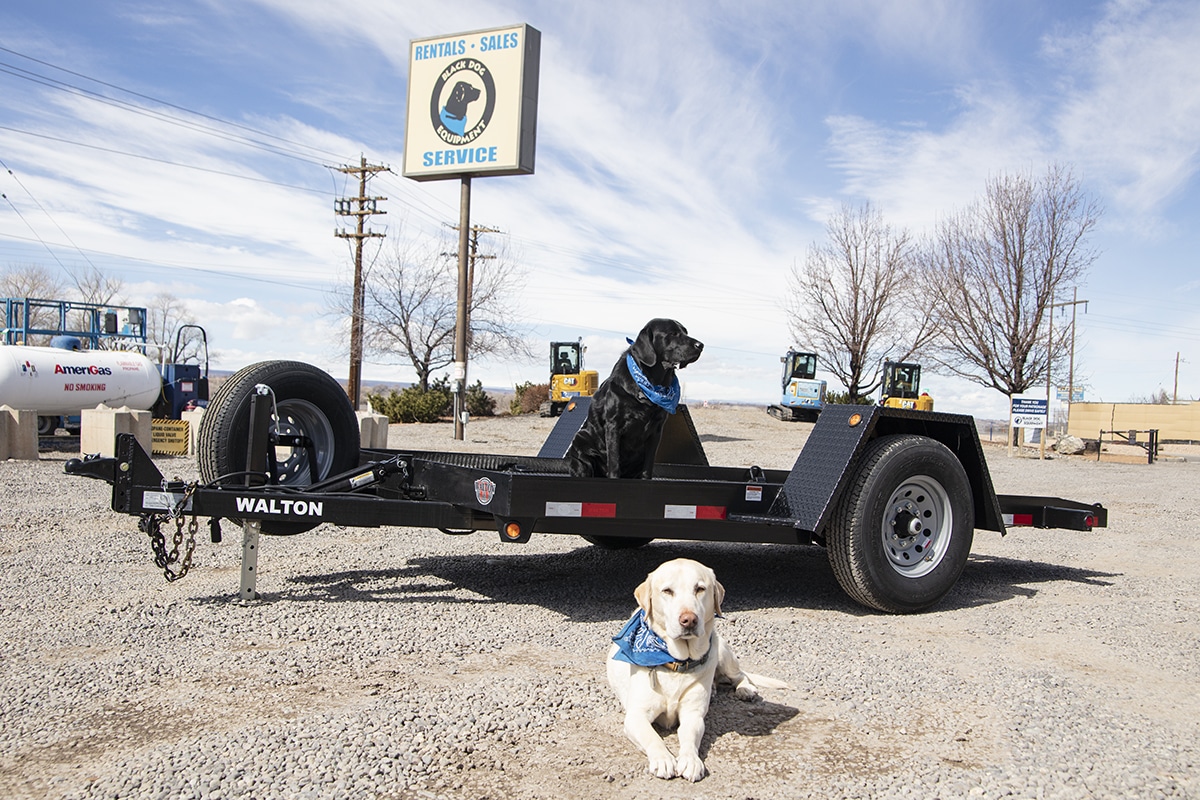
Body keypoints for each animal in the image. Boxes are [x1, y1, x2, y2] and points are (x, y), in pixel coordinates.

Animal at [561, 321, 700, 482]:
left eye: (685, 332)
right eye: (673, 333)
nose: (700, 345)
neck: (650, 385)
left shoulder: (656, 431)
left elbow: (648, 467)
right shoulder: (614, 426)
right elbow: (614, 463)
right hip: (580, 440)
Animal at [609, 556, 787, 782]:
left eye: (700, 589)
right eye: (667, 591)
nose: (689, 619)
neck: (676, 662)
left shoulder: (693, 715)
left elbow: (690, 738)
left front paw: (691, 761)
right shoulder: (636, 716)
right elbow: (652, 737)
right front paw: (663, 759)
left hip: (720, 649)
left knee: (740, 675)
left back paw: (745, 689)